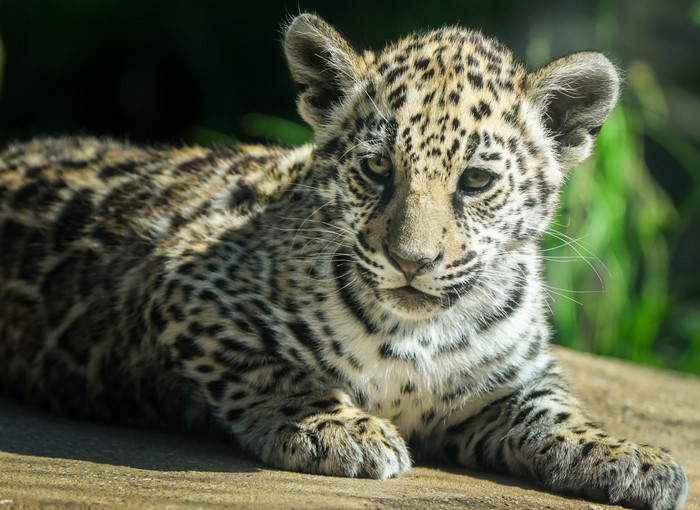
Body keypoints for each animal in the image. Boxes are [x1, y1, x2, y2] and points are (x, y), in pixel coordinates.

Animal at [0, 13, 688, 509]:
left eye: (476, 181)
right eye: (377, 167)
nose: (411, 261)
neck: (419, 333)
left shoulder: (509, 384)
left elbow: (556, 412)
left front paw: (630, 457)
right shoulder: (183, 282)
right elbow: (273, 373)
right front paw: (339, 428)